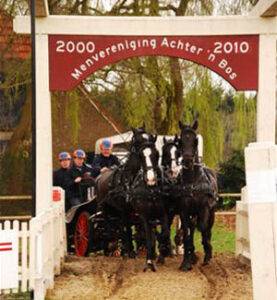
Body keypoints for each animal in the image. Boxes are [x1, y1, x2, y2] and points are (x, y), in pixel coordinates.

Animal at [177, 119, 218, 272]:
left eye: (195, 140)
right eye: (180, 140)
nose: (188, 160)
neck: (192, 181)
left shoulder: (204, 208)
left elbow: (203, 228)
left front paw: (207, 254)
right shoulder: (184, 211)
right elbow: (187, 233)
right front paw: (186, 261)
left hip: (212, 213)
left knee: (207, 229)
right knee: (192, 228)